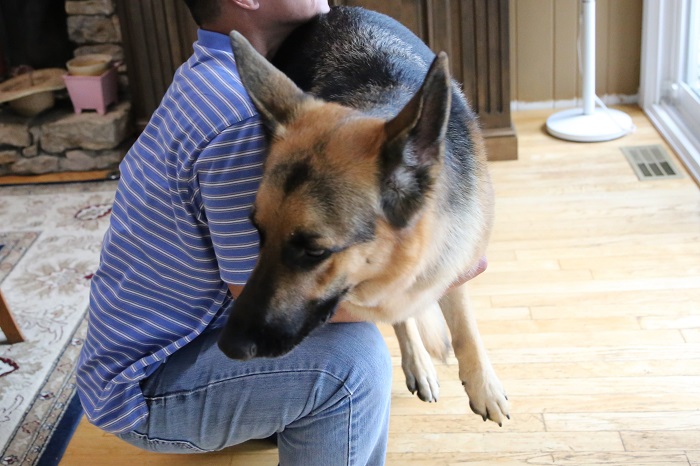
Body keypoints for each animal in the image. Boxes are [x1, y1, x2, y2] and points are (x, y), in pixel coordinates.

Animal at [218, 6, 509, 426]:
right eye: (258, 232)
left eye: (314, 251)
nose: (227, 346)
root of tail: (337, 11)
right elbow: (406, 313)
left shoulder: (457, 258)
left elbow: (464, 323)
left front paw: (483, 383)